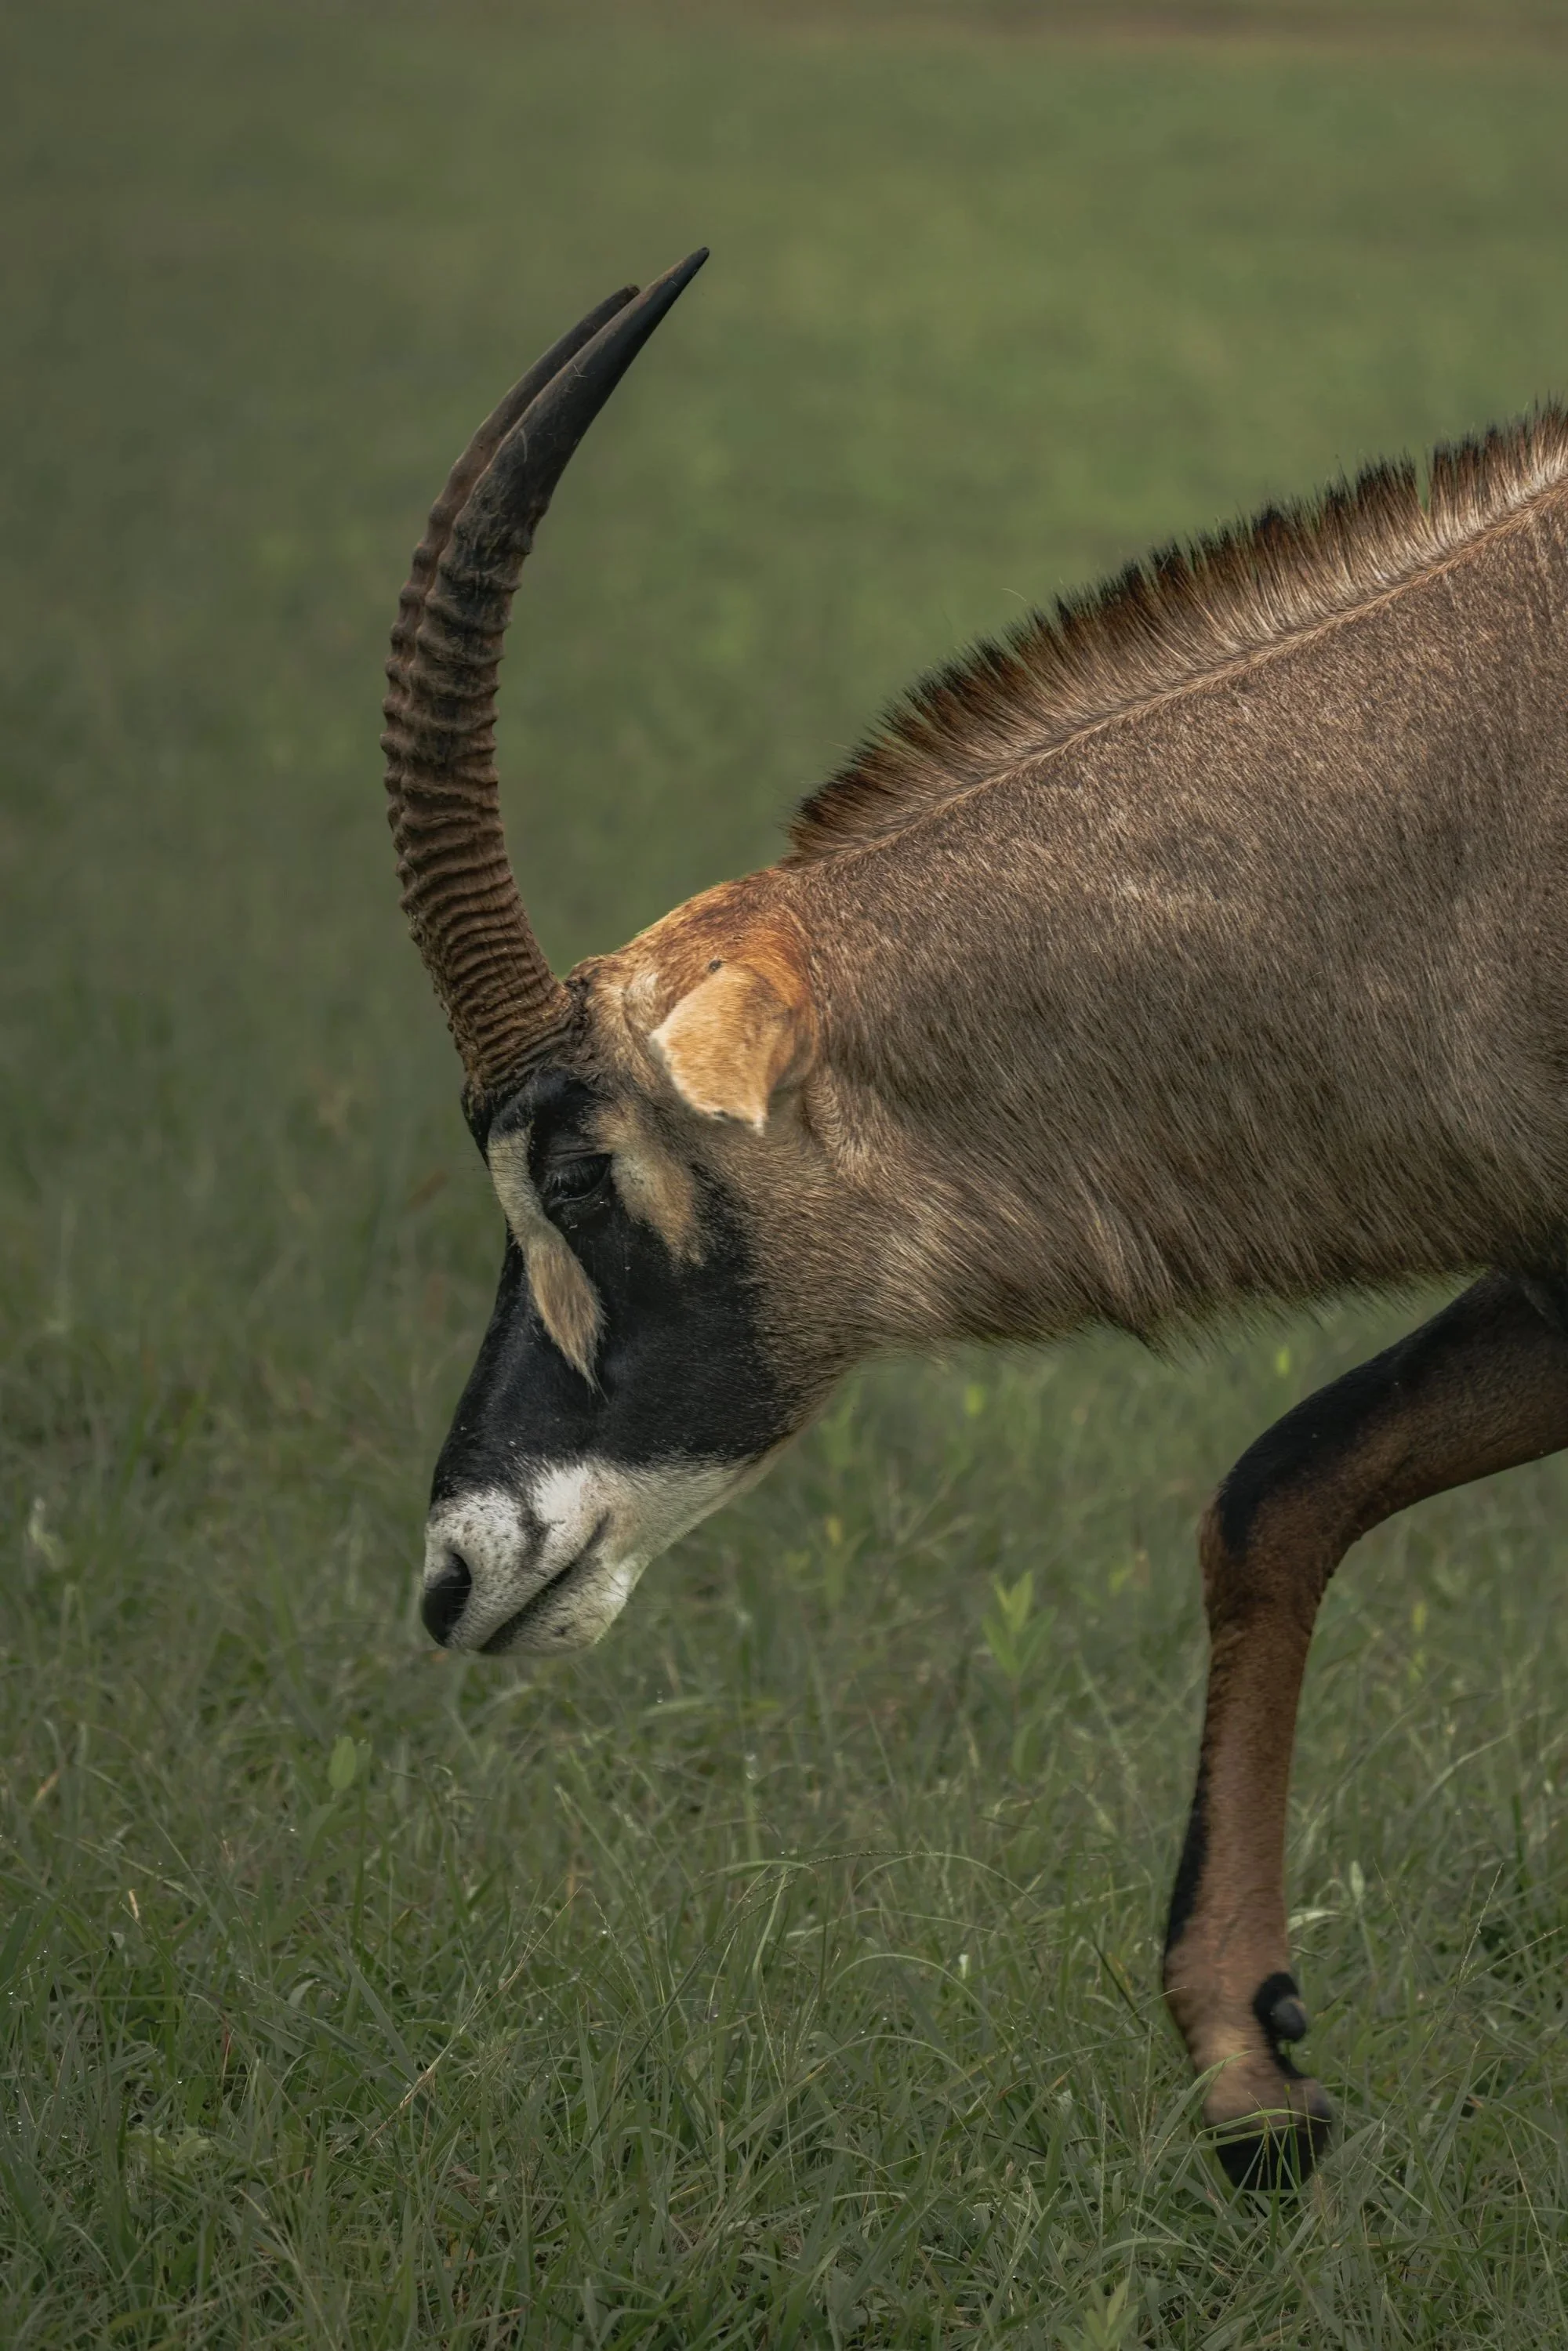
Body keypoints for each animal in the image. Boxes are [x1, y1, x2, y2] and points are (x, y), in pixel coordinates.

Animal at [381, 250, 1568, 2189]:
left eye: (574, 1167)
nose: (457, 1570)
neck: (1488, 786)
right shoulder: (1557, 1277)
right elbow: (1279, 1491)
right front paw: (1251, 2084)